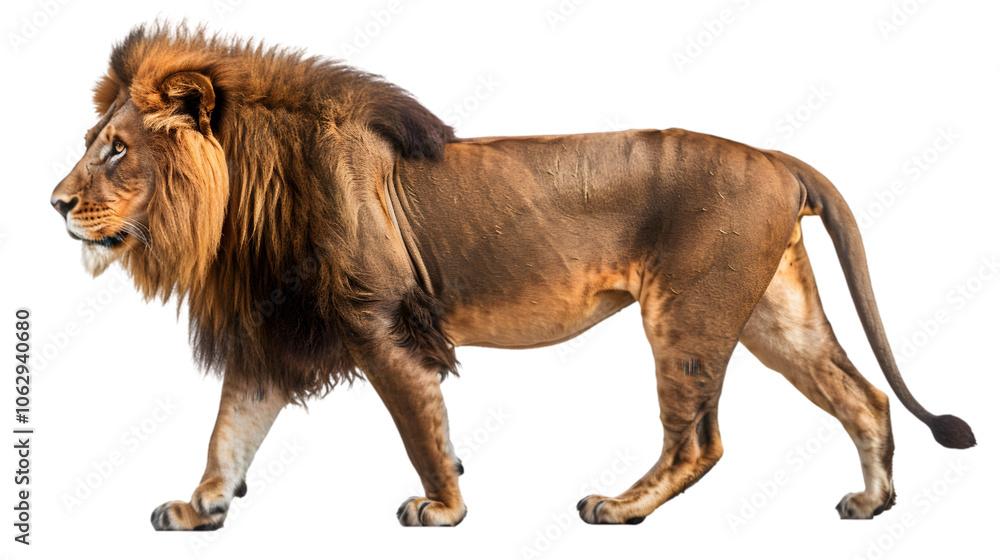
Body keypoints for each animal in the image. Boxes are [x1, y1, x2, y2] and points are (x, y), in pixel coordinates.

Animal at [50, 24, 975, 530]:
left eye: (116, 150)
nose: (54, 203)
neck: (242, 200)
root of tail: (778, 157)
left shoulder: (383, 323)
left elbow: (419, 426)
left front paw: (441, 508)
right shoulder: (276, 335)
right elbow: (229, 432)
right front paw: (199, 508)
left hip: (686, 316)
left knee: (700, 441)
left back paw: (619, 509)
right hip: (772, 315)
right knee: (864, 397)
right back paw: (871, 505)